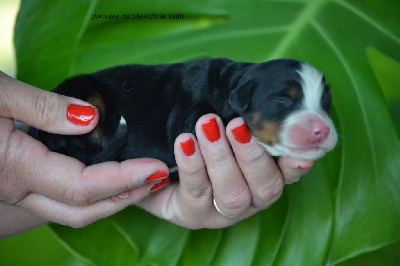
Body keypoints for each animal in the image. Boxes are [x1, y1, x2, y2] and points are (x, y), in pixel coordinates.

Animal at [28, 59, 338, 177]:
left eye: (326, 101)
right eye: (282, 100)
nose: (322, 131)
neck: (230, 86)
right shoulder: (188, 116)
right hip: (85, 94)